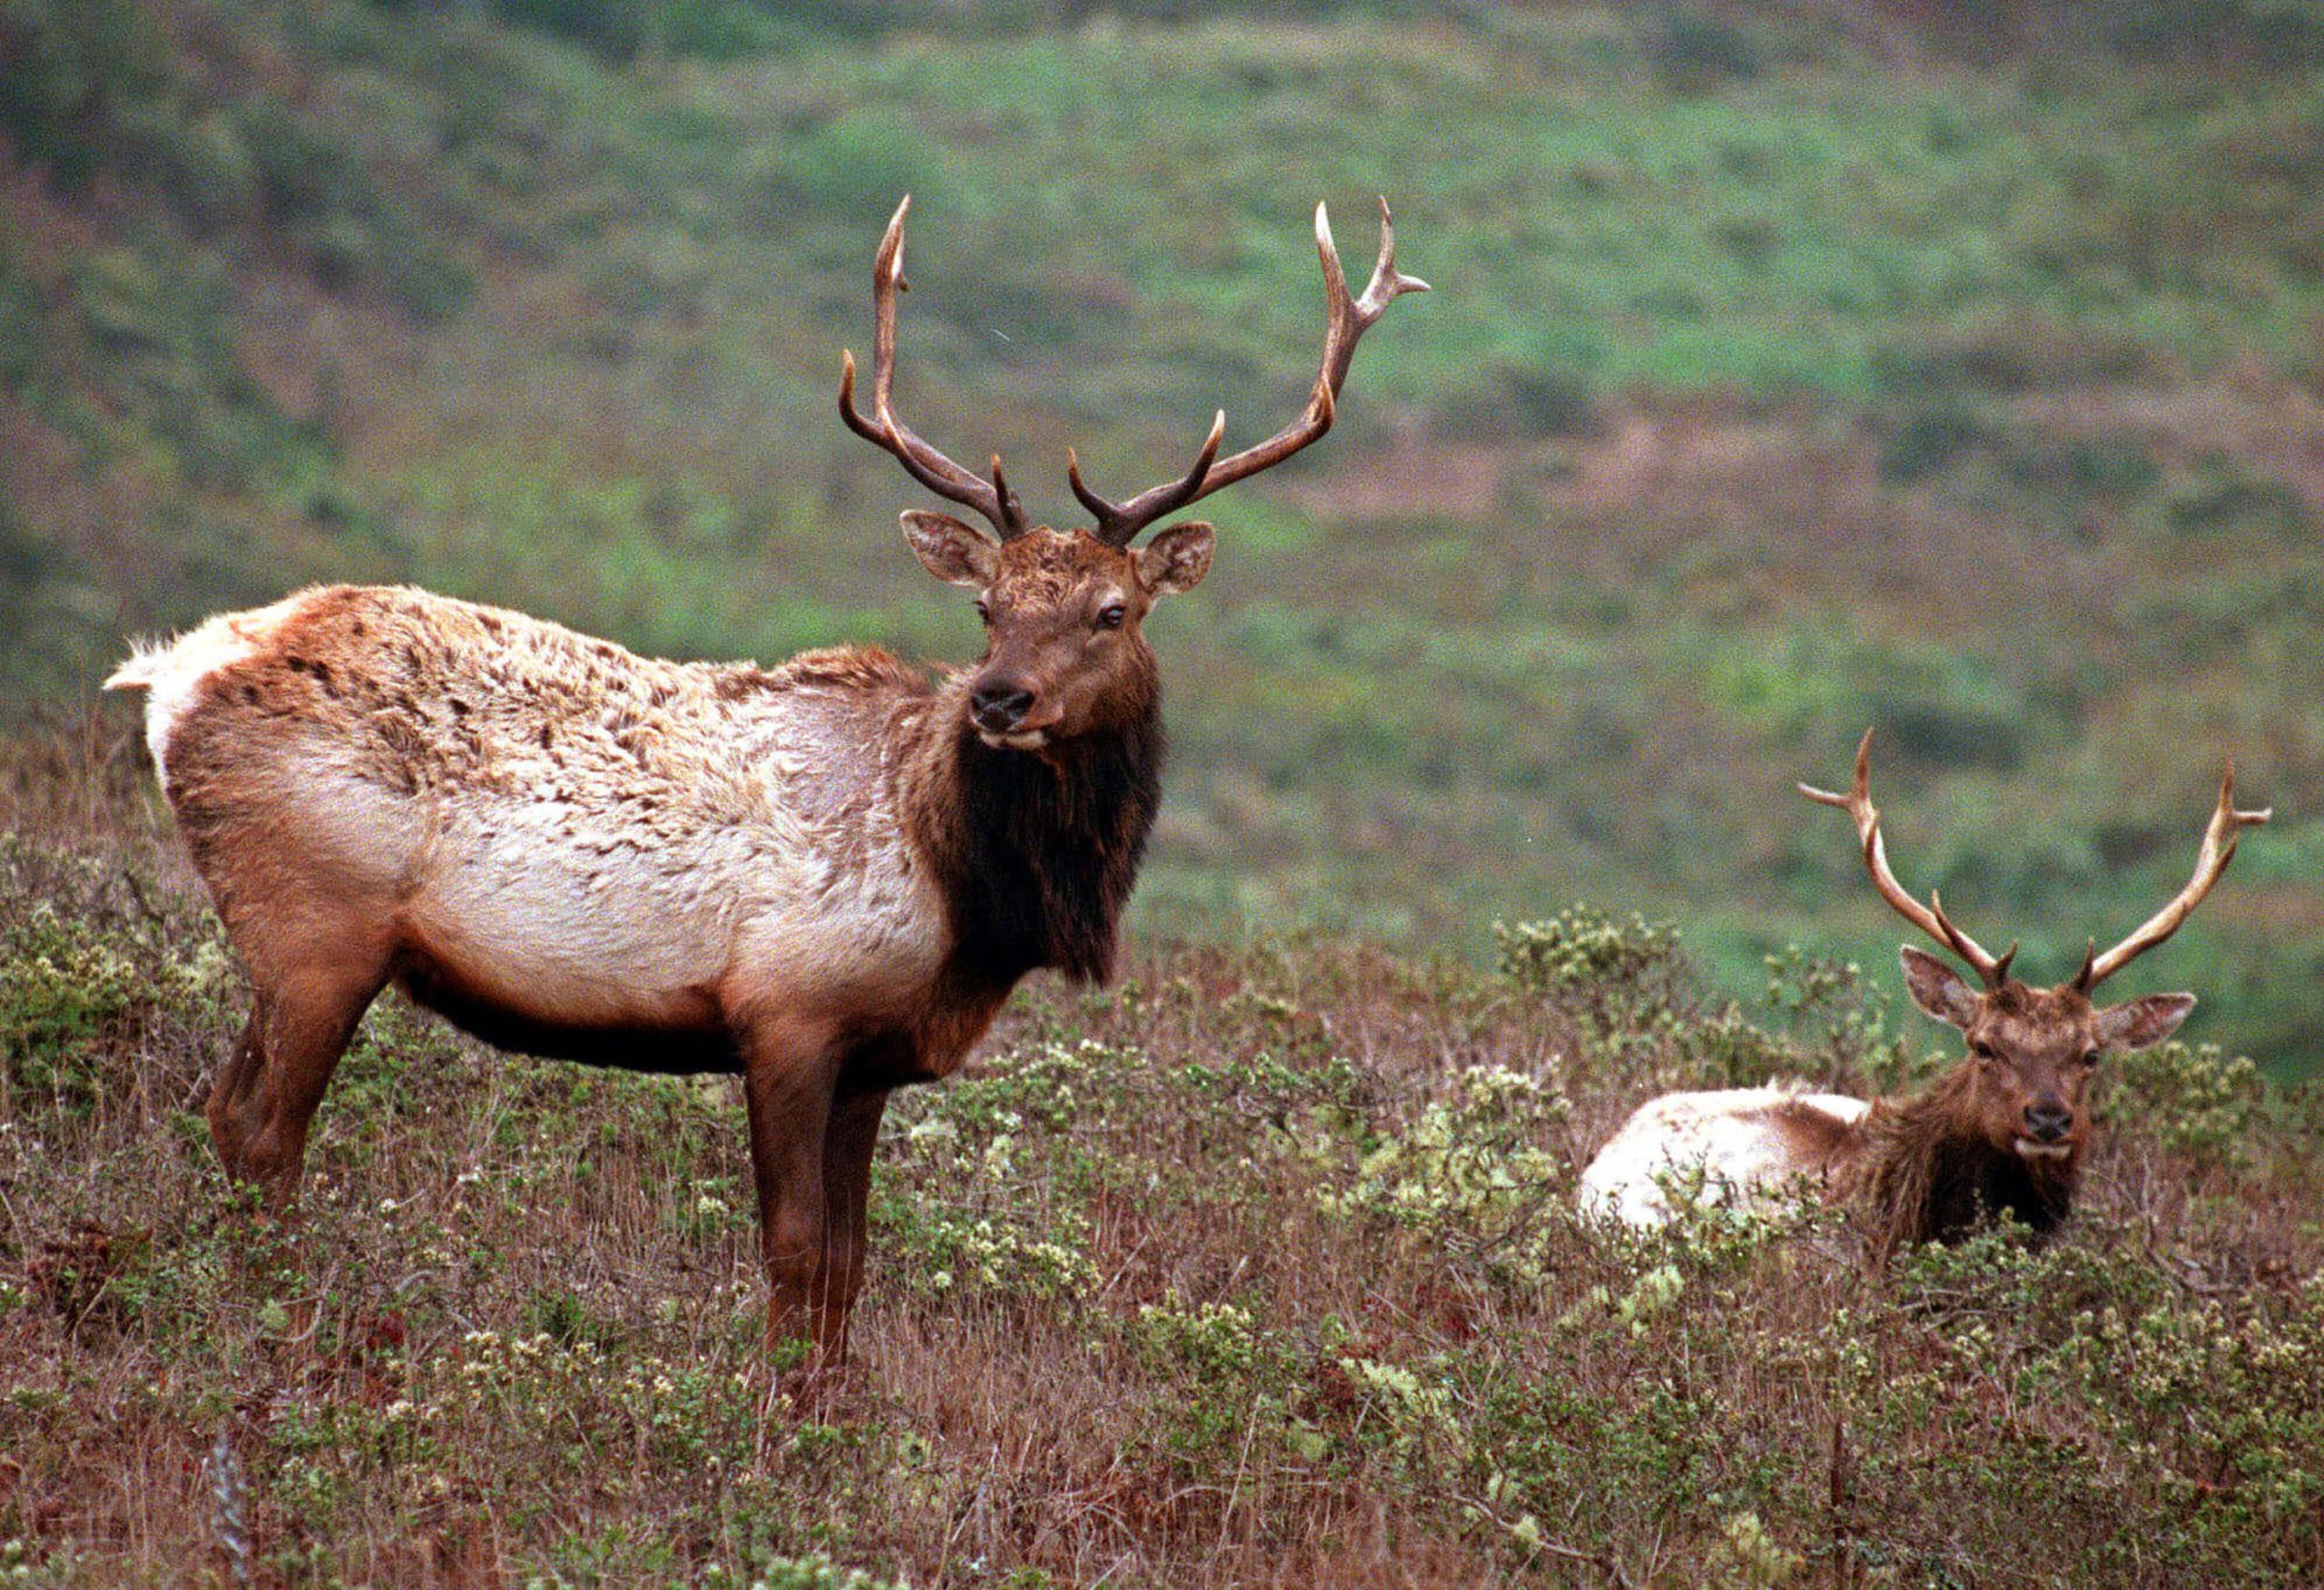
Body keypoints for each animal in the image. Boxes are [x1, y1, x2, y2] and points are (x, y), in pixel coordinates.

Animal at [104, 197, 1426, 1359]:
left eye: (1111, 613)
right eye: (987, 610)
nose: (1001, 700)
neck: (964, 894)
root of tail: (174, 673)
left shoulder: (874, 1053)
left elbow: (848, 1266)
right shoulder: (788, 1008)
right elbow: (792, 1254)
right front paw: (777, 1434)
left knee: (228, 1114)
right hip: (315, 922)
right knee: (261, 1129)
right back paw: (264, 1333)